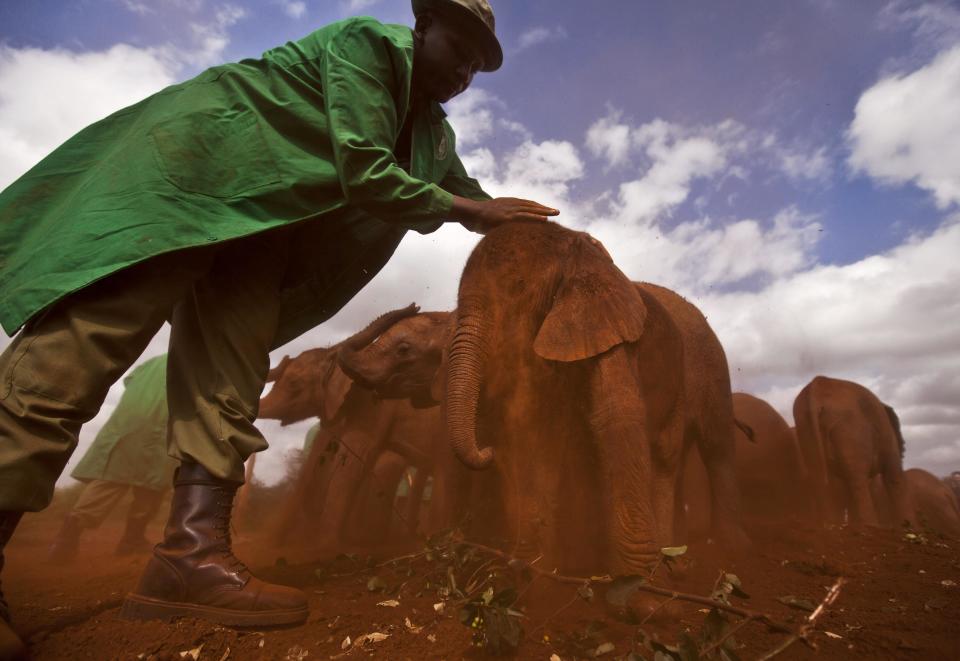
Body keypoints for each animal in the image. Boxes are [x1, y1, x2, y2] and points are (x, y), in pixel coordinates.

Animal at [338, 222, 752, 572]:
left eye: (516, 289)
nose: (487, 451)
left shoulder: (604, 328)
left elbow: (613, 414)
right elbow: (543, 434)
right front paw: (536, 565)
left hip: (704, 369)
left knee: (696, 451)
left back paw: (712, 553)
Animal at [792, 376, 912, 524]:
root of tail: (817, 387)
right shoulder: (888, 436)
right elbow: (895, 479)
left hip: (805, 426)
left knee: (820, 481)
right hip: (850, 428)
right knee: (858, 481)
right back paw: (870, 526)